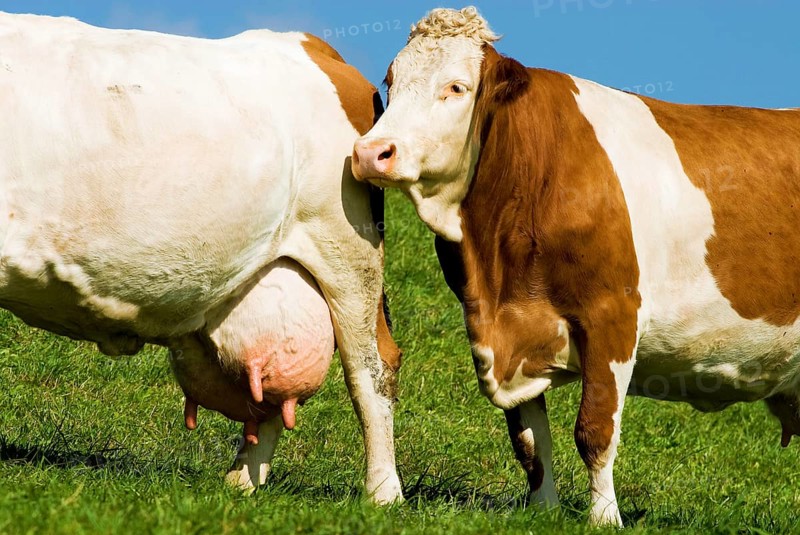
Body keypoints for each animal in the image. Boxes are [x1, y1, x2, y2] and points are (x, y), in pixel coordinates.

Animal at [352, 6, 800, 526]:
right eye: (391, 81)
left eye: (456, 88)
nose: (371, 152)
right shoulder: (507, 328)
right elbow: (529, 441)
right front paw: (543, 510)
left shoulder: (612, 316)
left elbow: (595, 431)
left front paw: (604, 518)